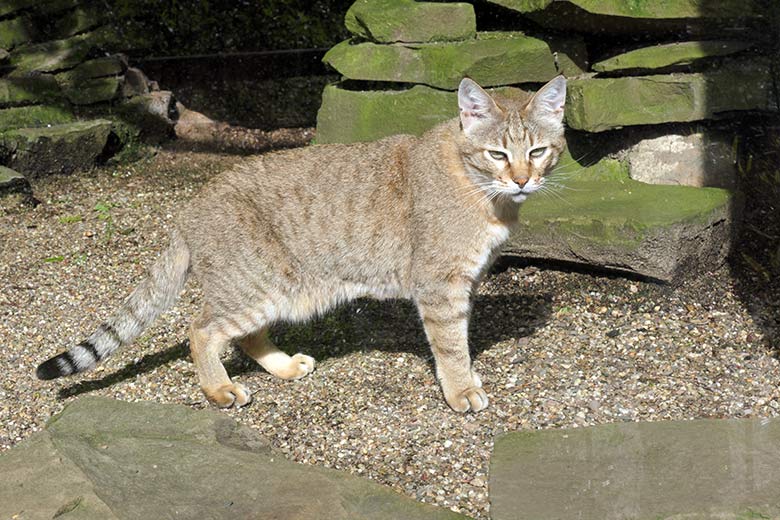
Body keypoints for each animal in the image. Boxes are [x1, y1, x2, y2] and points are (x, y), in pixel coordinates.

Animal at [36, 75, 568, 412]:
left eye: (539, 151)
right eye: (497, 154)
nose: (523, 179)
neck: (480, 188)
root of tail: (190, 206)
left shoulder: (465, 282)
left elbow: (462, 339)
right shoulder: (440, 285)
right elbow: (452, 345)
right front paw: (460, 390)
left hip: (278, 290)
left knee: (246, 336)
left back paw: (283, 367)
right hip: (257, 286)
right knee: (201, 330)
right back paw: (218, 390)